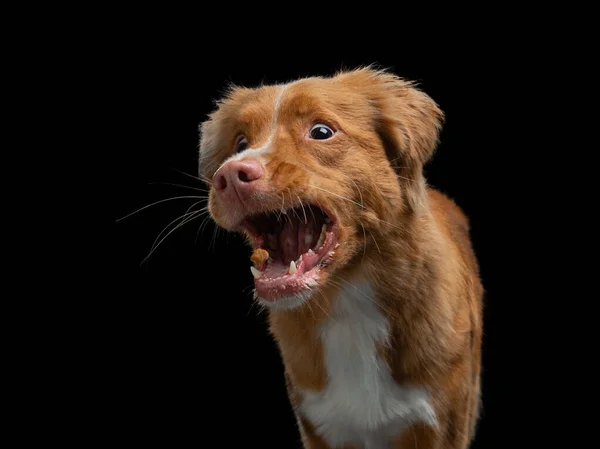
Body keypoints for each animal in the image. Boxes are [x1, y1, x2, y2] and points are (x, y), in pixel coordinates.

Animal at [199, 67, 486, 448]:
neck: (347, 301)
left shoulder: (442, 425)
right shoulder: (318, 425)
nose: (230, 175)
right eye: (240, 143)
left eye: (321, 132)